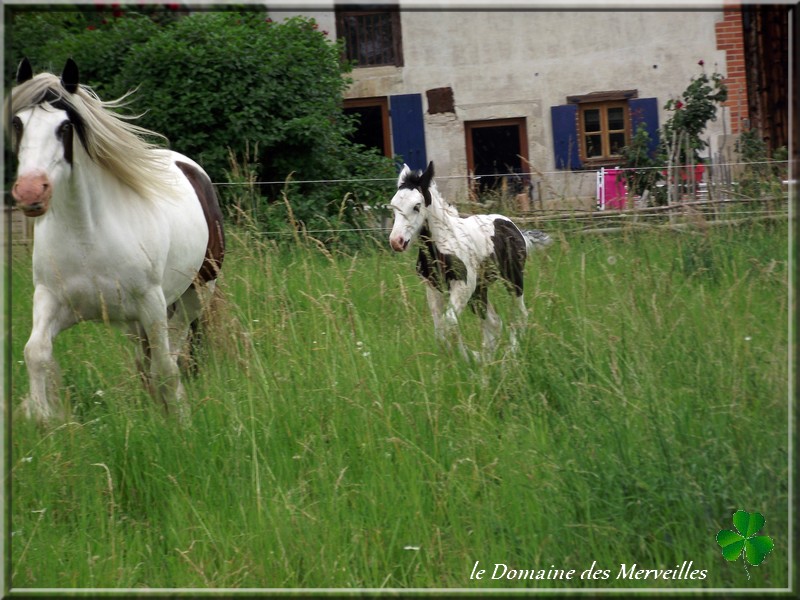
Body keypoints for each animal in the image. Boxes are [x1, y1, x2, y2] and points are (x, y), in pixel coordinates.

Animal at [10, 57, 225, 422]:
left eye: (64, 127)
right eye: (18, 122)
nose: (30, 191)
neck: (87, 235)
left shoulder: (151, 304)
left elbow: (165, 368)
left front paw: (180, 422)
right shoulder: (53, 300)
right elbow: (35, 351)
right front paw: (43, 418)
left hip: (194, 295)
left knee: (173, 355)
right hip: (134, 322)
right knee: (146, 361)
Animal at [386, 161, 552, 360]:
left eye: (417, 206)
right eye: (394, 206)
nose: (396, 241)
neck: (443, 243)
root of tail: (514, 228)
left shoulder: (464, 284)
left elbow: (450, 322)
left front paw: (466, 356)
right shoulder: (433, 288)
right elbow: (440, 329)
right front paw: (463, 358)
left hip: (512, 279)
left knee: (520, 314)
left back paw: (512, 352)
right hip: (480, 290)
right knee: (494, 322)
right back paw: (488, 358)